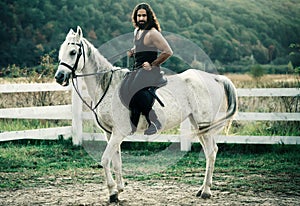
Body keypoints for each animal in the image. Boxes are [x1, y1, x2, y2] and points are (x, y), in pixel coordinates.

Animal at [53, 26, 237, 203]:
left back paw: (206, 191)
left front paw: (112, 193)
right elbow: (116, 161)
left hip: (203, 124)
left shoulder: (118, 133)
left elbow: (105, 160)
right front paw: (119, 191)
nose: (59, 77)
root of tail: (215, 78)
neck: (108, 87)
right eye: (61, 51)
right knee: (209, 151)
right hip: (198, 125)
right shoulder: (110, 133)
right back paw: (201, 189)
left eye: (73, 52)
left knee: (211, 152)